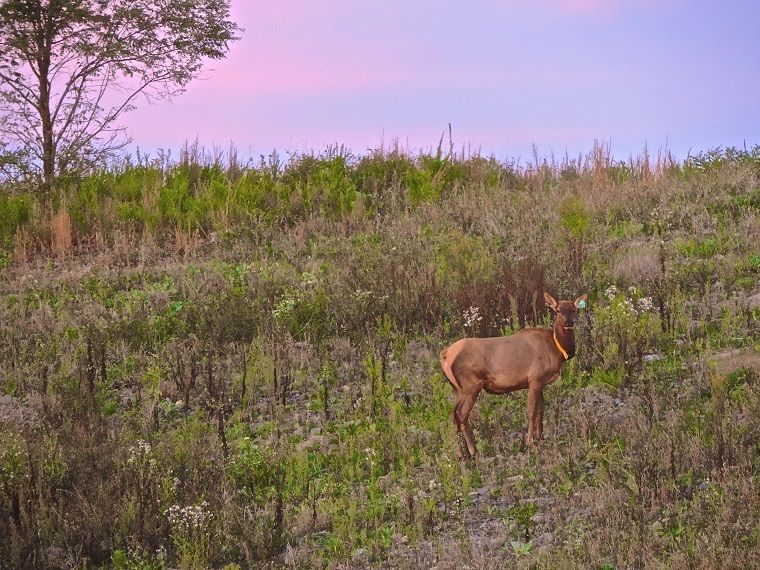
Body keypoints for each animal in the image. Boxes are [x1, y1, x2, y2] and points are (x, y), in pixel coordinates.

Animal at [440, 292, 587, 458]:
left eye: (574, 309)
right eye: (558, 310)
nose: (569, 322)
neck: (557, 350)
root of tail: (445, 355)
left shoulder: (541, 382)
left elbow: (541, 411)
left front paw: (541, 438)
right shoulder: (535, 379)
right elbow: (531, 411)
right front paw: (530, 442)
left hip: (458, 389)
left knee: (453, 416)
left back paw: (460, 453)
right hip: (471, 385)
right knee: (461, 415)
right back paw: (472, 451)